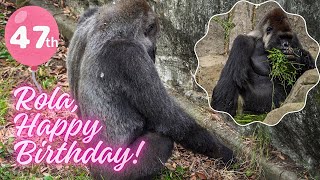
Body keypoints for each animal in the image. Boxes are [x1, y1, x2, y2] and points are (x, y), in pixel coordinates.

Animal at [66, 0, 234, 179]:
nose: (154, 53)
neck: (107, 27)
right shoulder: (130, 56)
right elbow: (170, 121)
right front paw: (224, 153)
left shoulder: (87, 16)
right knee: (163, 140)